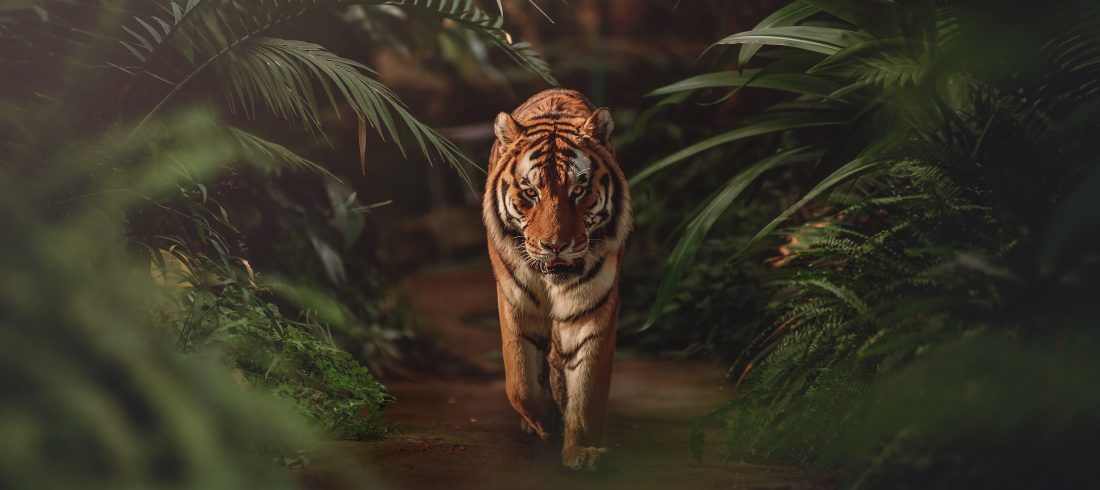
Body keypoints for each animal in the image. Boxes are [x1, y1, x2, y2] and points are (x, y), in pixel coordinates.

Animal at [482, 89, 632, 471]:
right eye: (530, 192)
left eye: (578, 190)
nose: (555, 245)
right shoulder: (515, 303)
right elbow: (519, 381)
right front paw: (546, 421)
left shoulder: (591, 308)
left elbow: (588, 389)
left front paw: (584, 450)